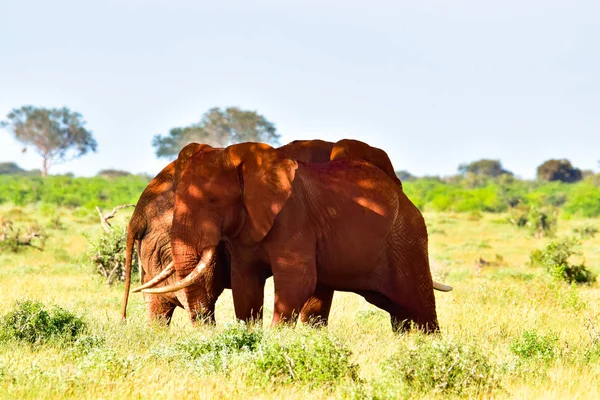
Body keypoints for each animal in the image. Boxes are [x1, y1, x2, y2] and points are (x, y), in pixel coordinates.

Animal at [142, 141, 450, 332]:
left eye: (212, 200)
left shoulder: (295, 218)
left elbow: (298, 281)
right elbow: (245, 285)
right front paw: (249, 334)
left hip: (406, 237)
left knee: (417, 307)